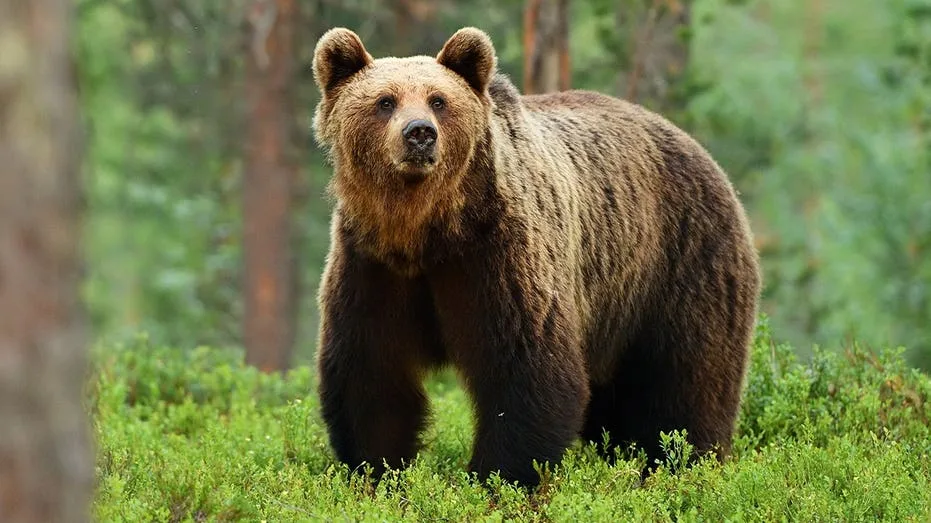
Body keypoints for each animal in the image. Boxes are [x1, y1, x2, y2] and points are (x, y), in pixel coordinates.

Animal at [311, 26, 761, 488]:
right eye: (385, 101)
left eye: (439, 100)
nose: (419, 133)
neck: (426, 231)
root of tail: (702, 153)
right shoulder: (372, 265)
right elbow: (372, 376)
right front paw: (376, 471)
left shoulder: (498, 256)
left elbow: (526, 370)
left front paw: (498, 478)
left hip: (680, 263)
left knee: (686, 383)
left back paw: (683, 463)